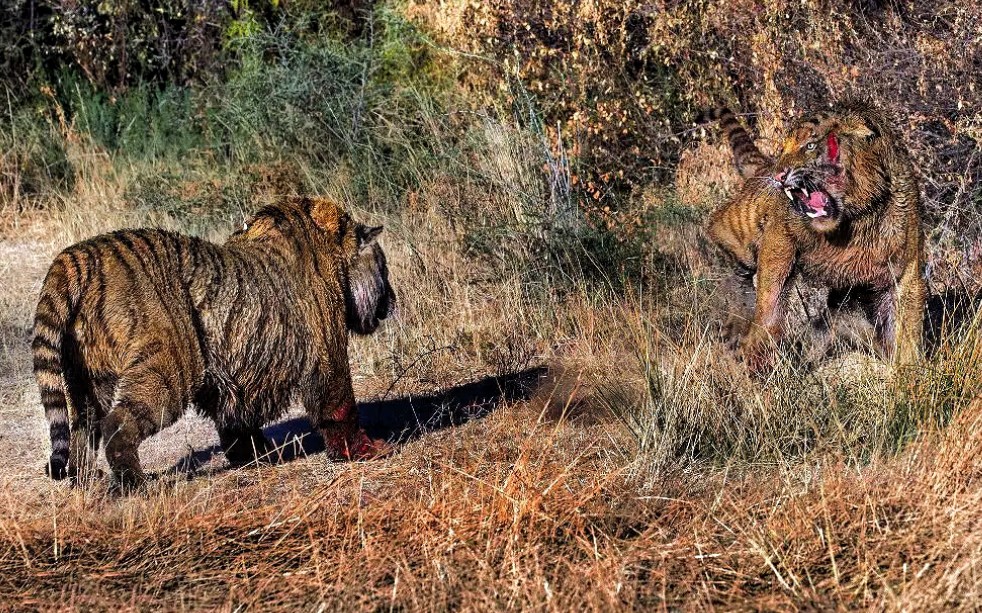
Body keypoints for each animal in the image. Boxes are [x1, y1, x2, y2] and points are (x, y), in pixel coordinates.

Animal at [32, 196, 398, 488]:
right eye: (384, 268)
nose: (393, 301)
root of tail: (77, 256)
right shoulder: (327, 351)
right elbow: (340, 406)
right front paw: (367, 451)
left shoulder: (236, 374)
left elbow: (237, 420)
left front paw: (255, 455)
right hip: (171, 369)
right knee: (116, 424)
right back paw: (134, 486)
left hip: (87, 379)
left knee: (83, 428)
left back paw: (85, 483)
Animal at [704, 101, 928, 370]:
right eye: (784, 148)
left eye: (810, 146)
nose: (778, 176)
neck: (855, 222)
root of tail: (764, 167)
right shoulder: (780, 237)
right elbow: (770, 300)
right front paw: (759, 352)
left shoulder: (905, 273)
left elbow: (906, 334)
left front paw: (909, 374)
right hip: (741, 226)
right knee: (717, 228)